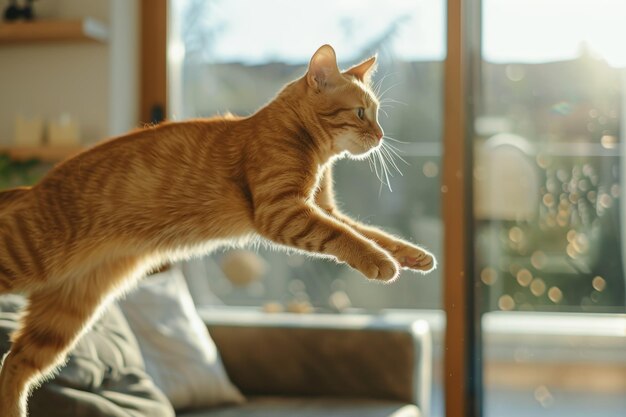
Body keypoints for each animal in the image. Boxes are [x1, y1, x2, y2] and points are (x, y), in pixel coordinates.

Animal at [0, 44, 432, 414]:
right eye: (361, 113)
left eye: (376, 113)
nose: (380, 136)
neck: (311, 149)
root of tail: (32, 187)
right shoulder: (284, 211)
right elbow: (346, 238)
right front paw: (380, 262)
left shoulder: (324, 209)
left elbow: (372, 233)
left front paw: (413, 255)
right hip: (26, 260)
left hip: (65, 315)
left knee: (14, 363)